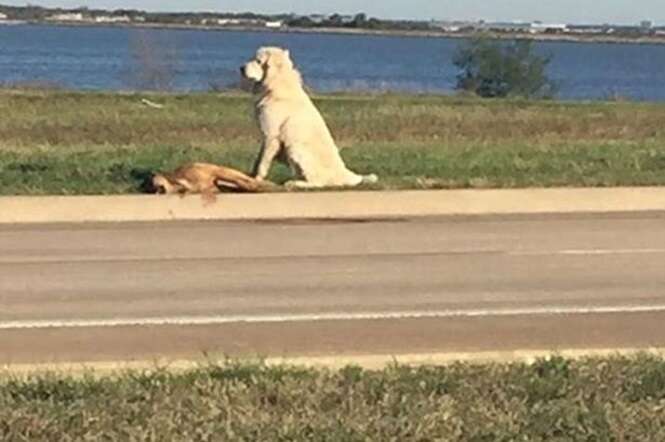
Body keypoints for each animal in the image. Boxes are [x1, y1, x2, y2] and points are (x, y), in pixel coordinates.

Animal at [239, 46, 376, 188]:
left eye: (258, 61)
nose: (241, 68)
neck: (277, 83)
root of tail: (345, 174)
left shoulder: (271, 135)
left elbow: (262, 163)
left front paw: (257, 180)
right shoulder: (266, 137)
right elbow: (258, 159)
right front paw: (249, 176)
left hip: (295, 147)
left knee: (317, 183)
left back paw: (295, 183)